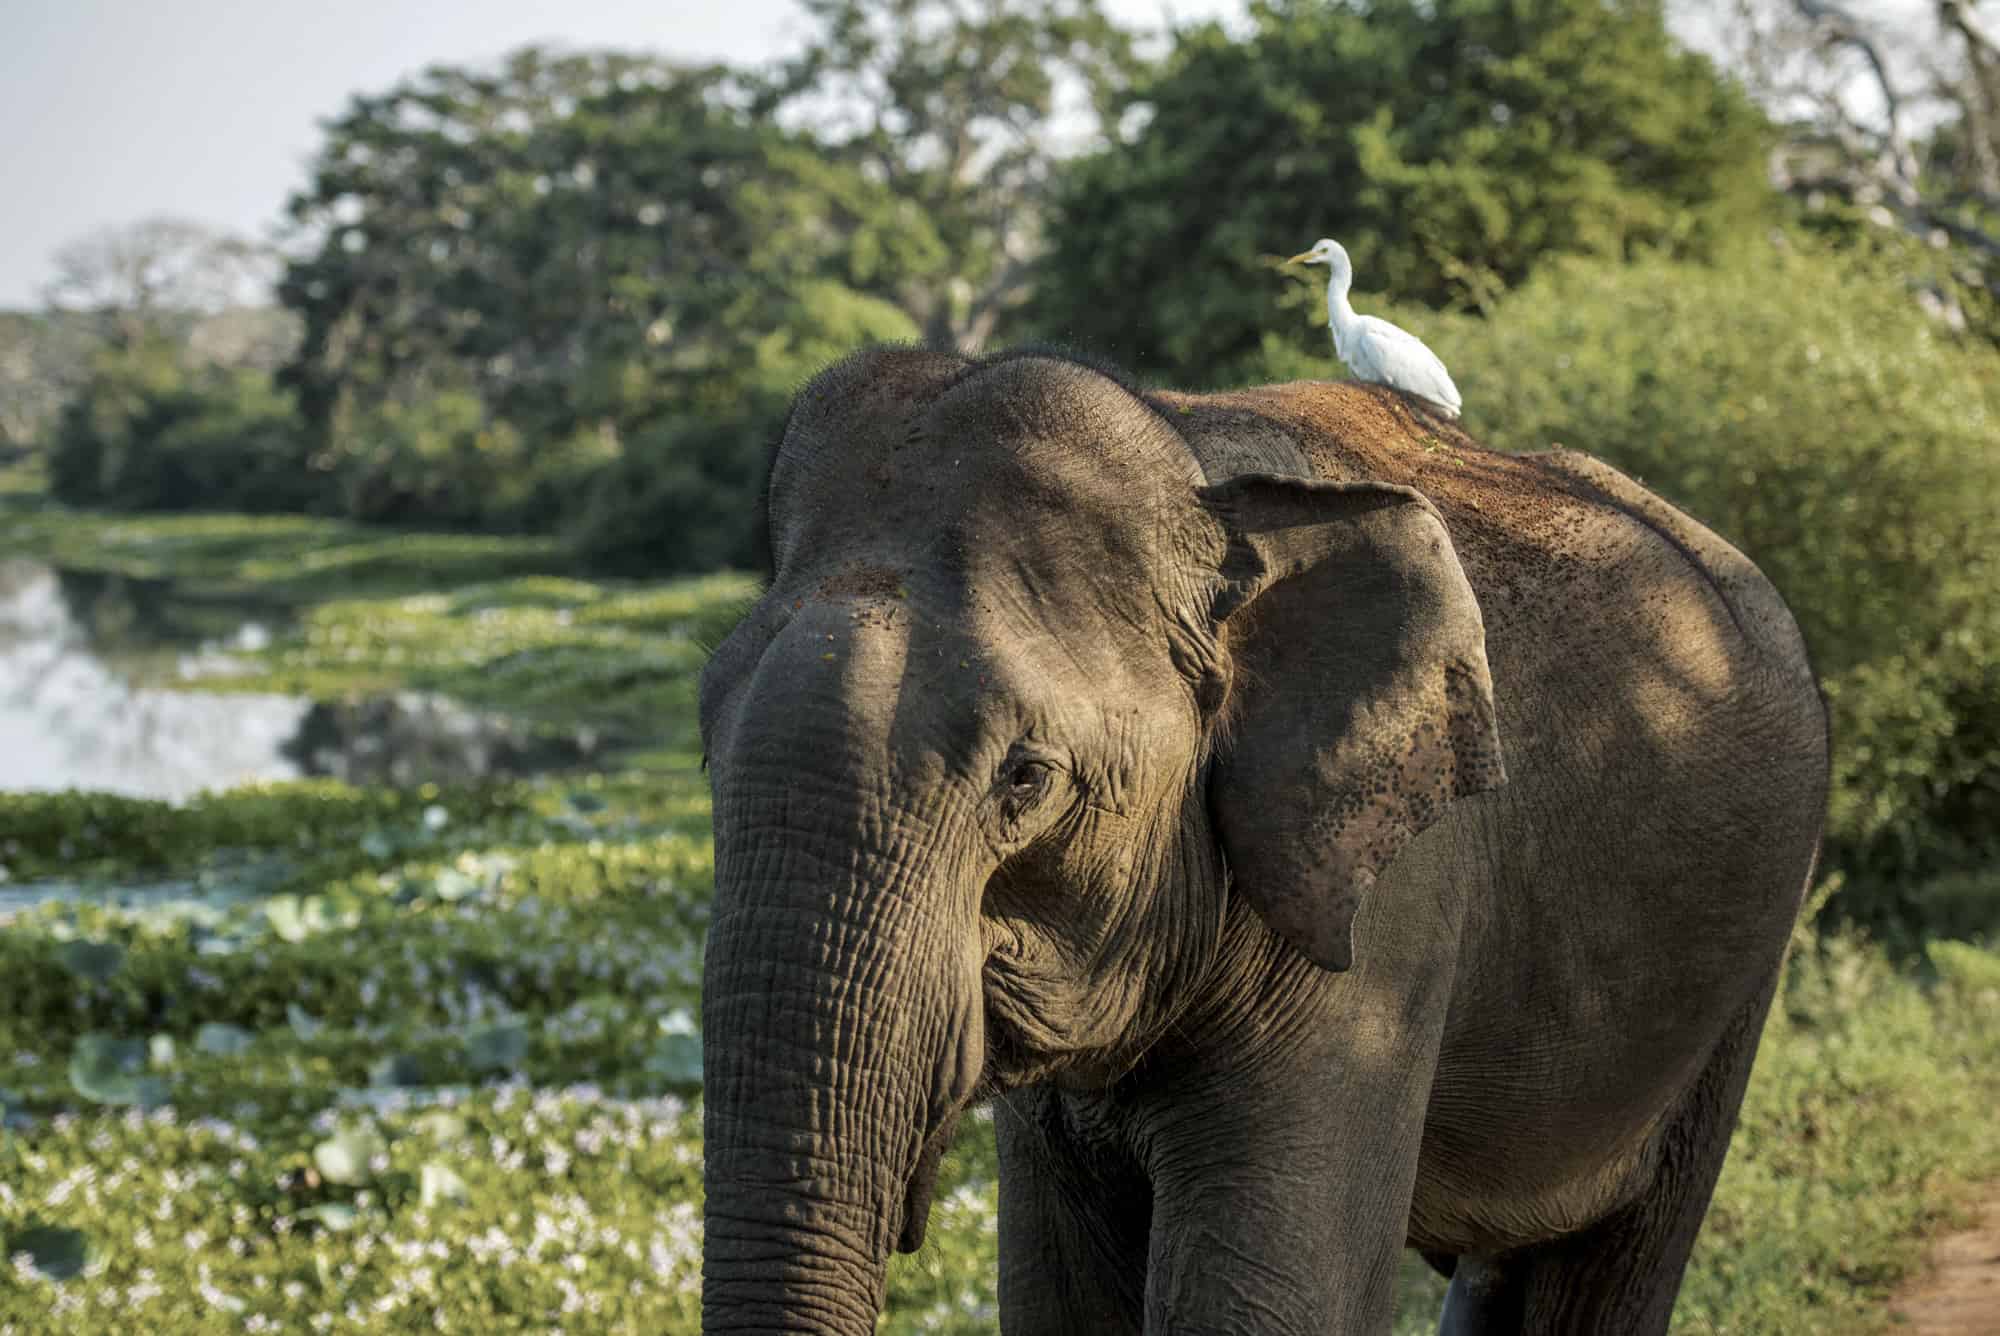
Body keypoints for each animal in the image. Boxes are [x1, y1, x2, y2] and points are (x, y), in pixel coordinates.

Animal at [700, 348, 1832, 1336]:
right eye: (705, 741)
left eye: (1026, 778)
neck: (1193, 457)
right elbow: (1062, 1303)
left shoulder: (1390, 900)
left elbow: (1264, 1303)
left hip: (1737, 973)